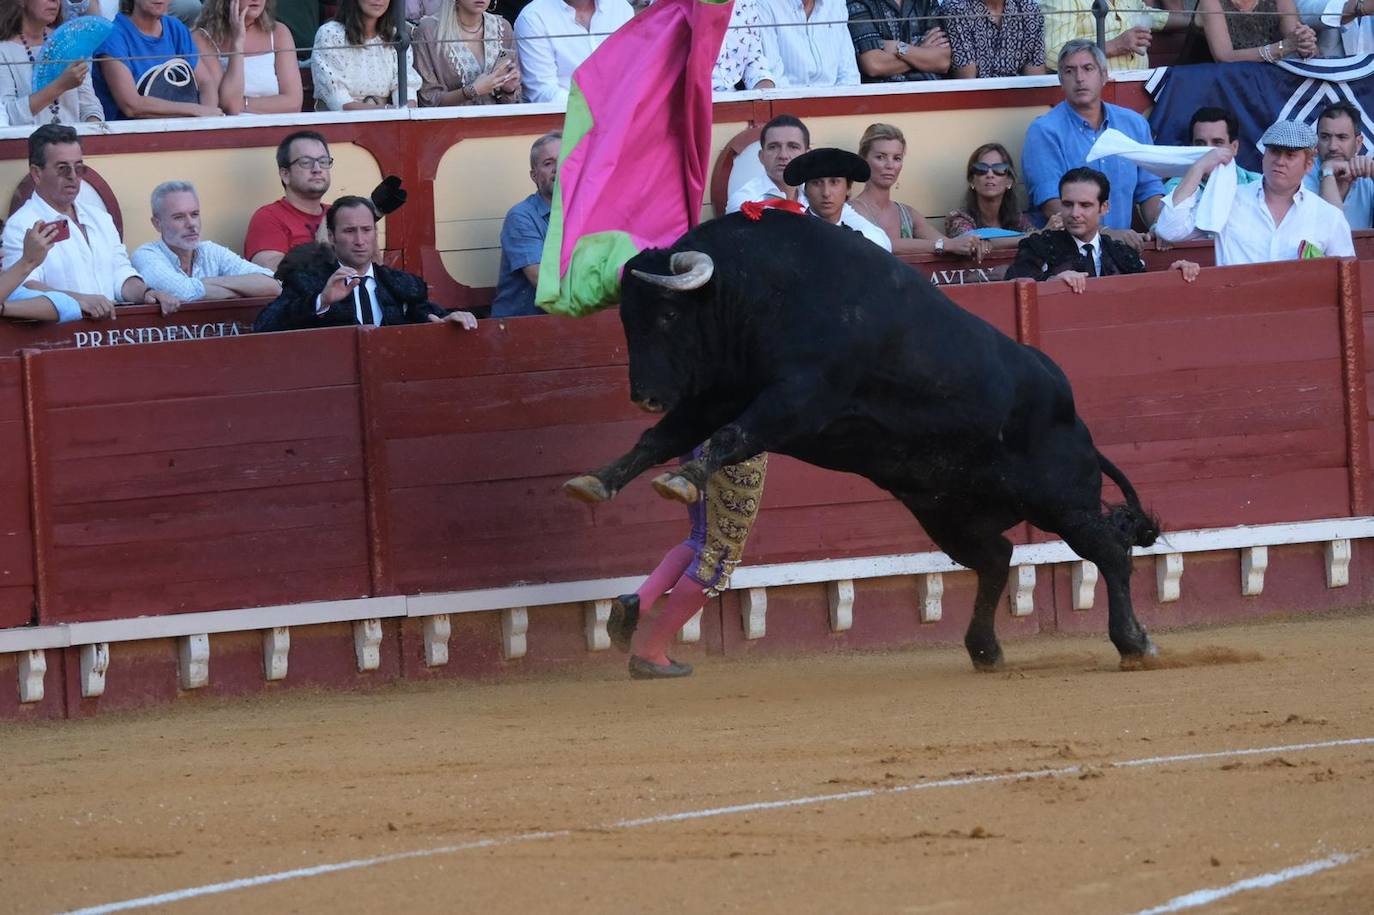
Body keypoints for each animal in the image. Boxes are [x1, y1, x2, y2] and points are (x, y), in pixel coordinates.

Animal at [560, 214, 1159, 670]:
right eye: (625, 318)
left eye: (667, 315)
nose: (645, 394)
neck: (758, 288)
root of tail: (1075, 420)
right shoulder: (718, 396)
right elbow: (660, 438)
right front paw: (596, 482)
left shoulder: (797, 399)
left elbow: (730, 436)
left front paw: (681, 478)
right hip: (947, 512)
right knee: (996, 559)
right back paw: (985, 650)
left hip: (1061, 501)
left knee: (1108, 550)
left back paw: (1135, 643)